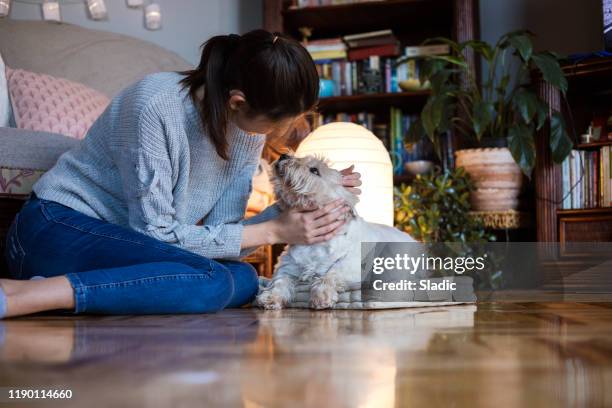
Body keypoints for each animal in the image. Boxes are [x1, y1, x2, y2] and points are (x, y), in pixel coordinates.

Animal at [256, 153, 414, 310]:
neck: (314, 245)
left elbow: (332, 273)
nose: (283, 156)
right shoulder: (288, 265)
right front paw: (270, 298)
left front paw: (321, 297)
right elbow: (280, 280)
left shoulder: (353, 264)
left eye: (314, 170)